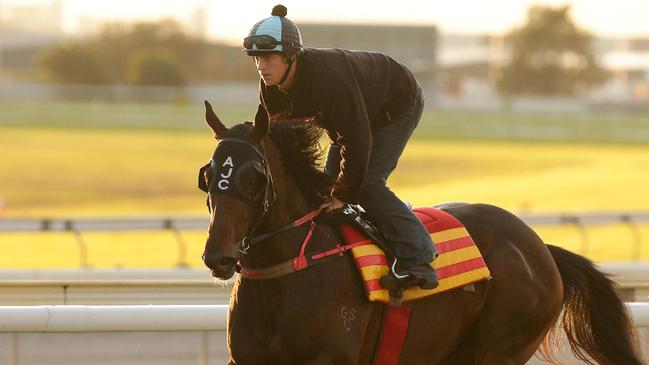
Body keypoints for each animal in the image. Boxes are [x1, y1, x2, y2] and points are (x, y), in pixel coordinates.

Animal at [199, 100, 644, 364]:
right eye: (208, 175)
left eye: (253, 178)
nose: (218, 256)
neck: (289, 268)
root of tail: (542, 249)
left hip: (501, 345)